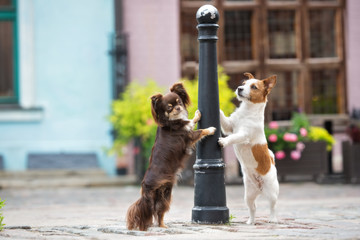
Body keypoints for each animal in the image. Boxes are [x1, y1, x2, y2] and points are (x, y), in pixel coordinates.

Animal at [126, 82, 215, 231]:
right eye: (169, 107)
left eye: (179, 102)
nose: (178, 107)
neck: (172, 121)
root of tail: (145, 187)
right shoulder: (189, 136)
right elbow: (199, 130)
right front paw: (210, 129)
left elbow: (191, 121)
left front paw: (196, 115)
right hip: (164, 194)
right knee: (158, 212)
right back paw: (163, 227)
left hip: (165, 194)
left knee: (158, 212)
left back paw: (163, 226)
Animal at [218, 72, 280, 224]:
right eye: (244, 83)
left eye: (254, 87)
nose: (239, 88)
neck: (247, 112)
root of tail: (260, 187)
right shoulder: (229, 126)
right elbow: (223, 116)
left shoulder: (243, 135)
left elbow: (233, 138)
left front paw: (224, 141)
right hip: (249, 196)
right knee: (253, 208)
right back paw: (250, 222)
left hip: (272, 192)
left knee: (273, 206)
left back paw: (273, 219)